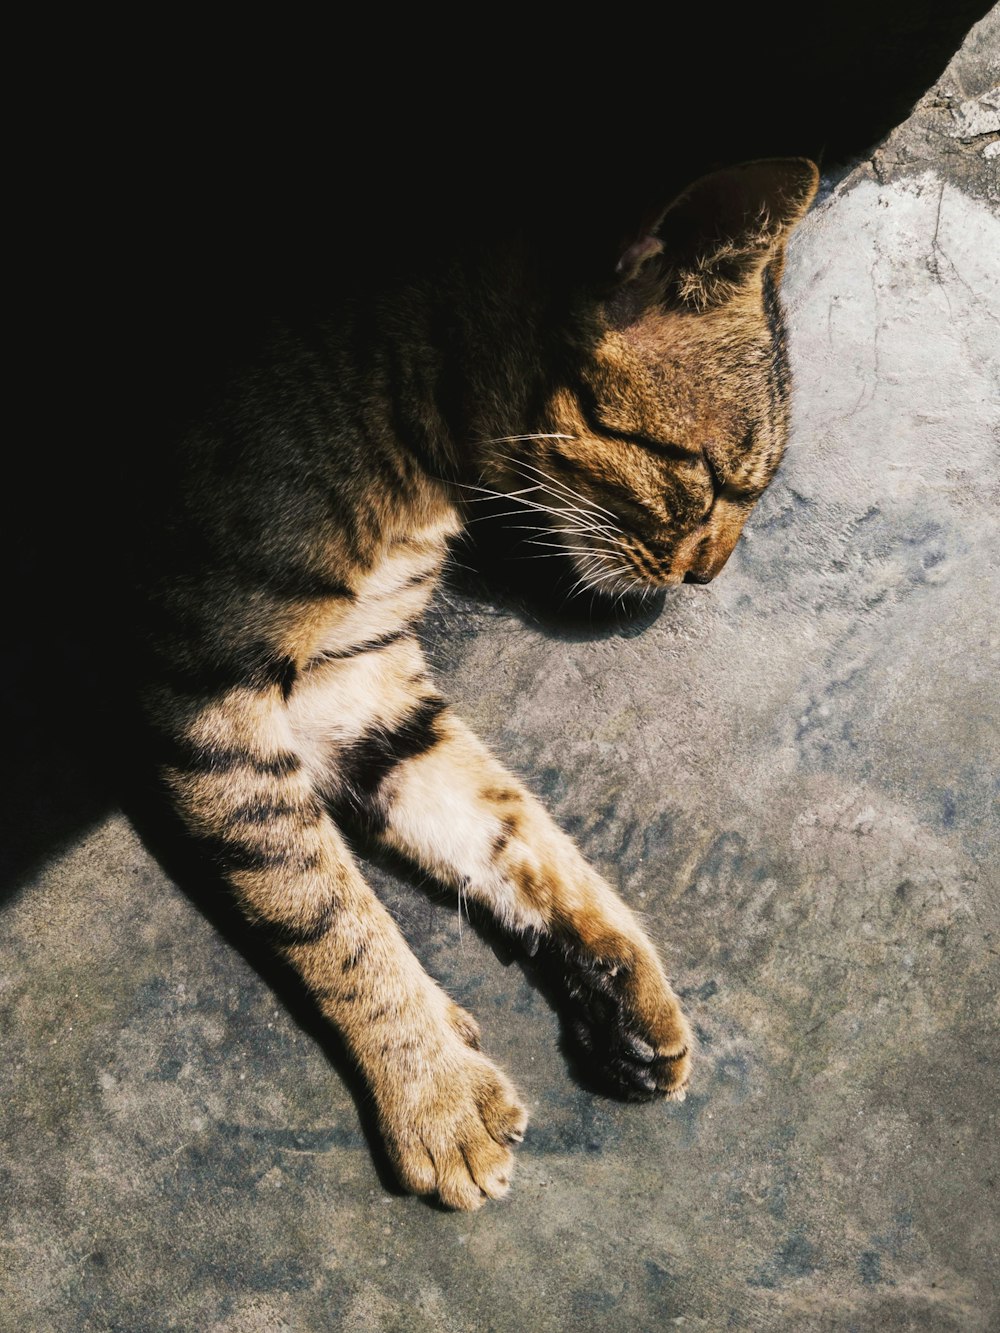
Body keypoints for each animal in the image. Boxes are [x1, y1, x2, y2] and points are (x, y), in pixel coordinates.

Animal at [131, 155, 821, 1210]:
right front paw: (436, 1088)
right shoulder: (212, 687)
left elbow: (513, 828)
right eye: (709, 480)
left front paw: (623, 974)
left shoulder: (359, 683)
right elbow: (329, 906)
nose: (709, 576)